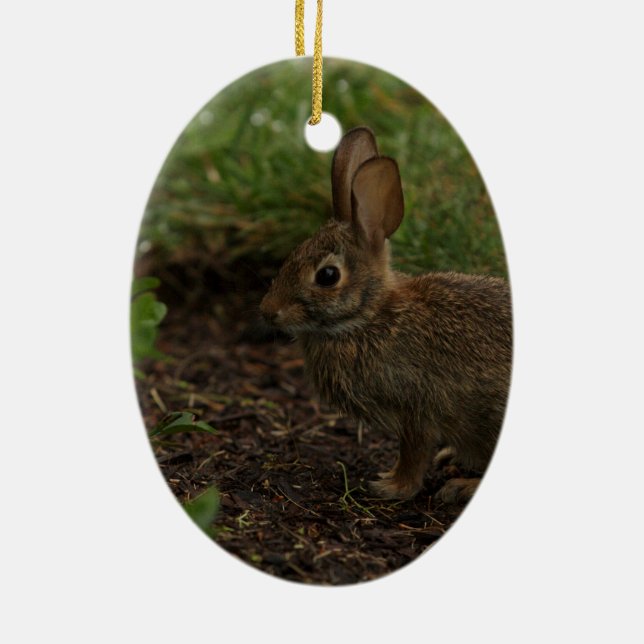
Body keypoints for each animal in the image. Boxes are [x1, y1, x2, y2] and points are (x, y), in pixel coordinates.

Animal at [260, 126, 512, 502]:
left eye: (327, 276)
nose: (268, 312)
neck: (371, 317)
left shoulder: (417, 409)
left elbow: (413, 454)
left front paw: (390, 486)